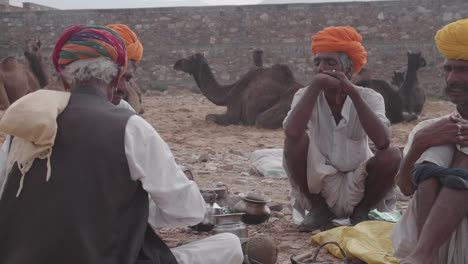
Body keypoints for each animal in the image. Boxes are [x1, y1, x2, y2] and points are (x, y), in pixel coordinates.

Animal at [174, 51, 302, 129]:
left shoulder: (232, 112)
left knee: (260, 120)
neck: (226, 93)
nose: (176, 63)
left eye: (189, 58)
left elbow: (209, 117)